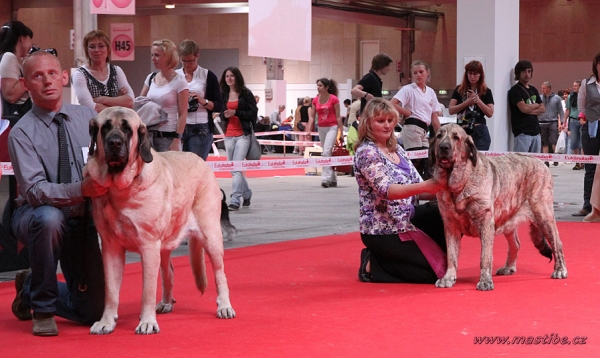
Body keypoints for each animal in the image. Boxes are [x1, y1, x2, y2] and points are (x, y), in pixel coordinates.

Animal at [85, 107, 236, 334]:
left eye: (127, 129)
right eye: (106, 127)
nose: (114, 143)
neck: (120, 188)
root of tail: (201, 160)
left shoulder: (148, 246)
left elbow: (147, 289)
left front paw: (147, 321)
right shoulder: (111, 248)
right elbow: (111, 290)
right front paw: (106, 322)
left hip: (210, 236)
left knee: (220, 273)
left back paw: (225, 306)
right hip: (164, 245)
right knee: (169, 272)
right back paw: (166, 302)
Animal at [432, 124, 568, 290]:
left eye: (456, 137)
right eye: (439, 136)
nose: (443, 147)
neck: (458, 185)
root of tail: (542, 163)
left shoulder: (485, 223)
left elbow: (485, 257)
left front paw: (485, 281)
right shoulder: (451, 226)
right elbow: (451, 255)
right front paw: (448, 278)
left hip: (543, 215)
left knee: (556, 242)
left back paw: (560, 270)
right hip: (508, 218)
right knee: (516, 244)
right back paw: (509, 267)